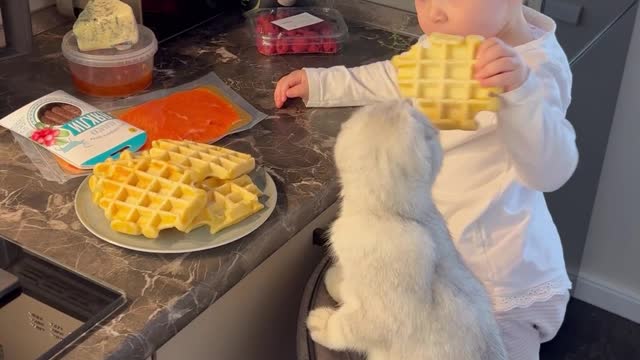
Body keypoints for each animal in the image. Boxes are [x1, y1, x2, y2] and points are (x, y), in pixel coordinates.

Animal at [308, 100, 508, 360]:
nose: (405, 100)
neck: (392, 216)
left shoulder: (379, 316)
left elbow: (343, 328)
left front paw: (321, 323)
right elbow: (345, 287)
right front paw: (337, 281)